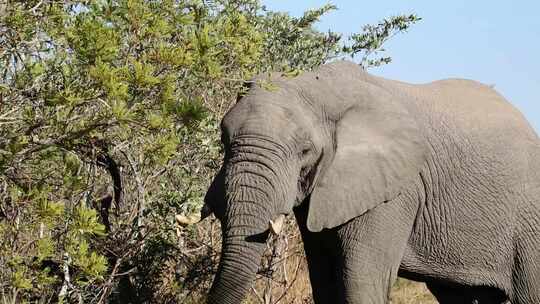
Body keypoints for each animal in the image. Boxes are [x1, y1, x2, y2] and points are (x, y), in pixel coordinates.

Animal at [200, 60, 536, 304]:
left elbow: (360, 282)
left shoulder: (395, 192)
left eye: (305, 150)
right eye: (224, 139)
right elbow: (324, 282)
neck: (319, 87)